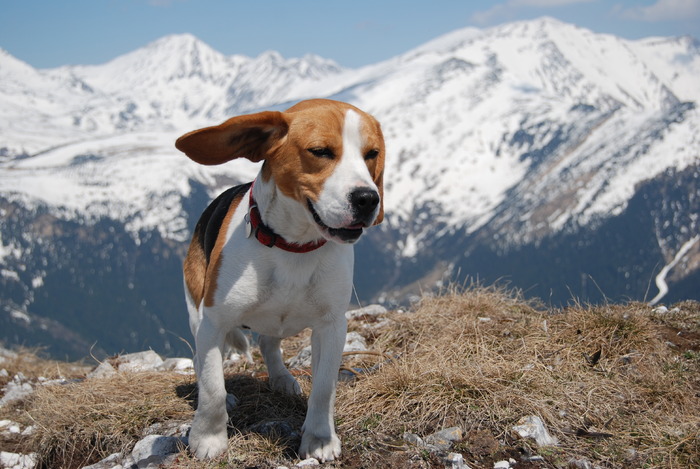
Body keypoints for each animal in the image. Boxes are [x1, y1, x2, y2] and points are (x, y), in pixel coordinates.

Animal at [174, 98, 382, 460]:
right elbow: (213, 386)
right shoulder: (214, 320)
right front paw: (208, 439)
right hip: (195, 307)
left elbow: (324, 387)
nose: (368, 199)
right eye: (320, 151)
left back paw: (282, 377)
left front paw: (320, 439)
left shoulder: (332, 325)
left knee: (268, 343)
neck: (294, 246)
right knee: (202, 360)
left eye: (371, 153)